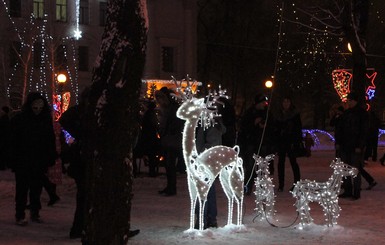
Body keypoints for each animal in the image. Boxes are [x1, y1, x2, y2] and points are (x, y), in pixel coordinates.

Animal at [173, 77, 244, 231]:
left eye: (192, 105)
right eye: (185, 103)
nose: (178, 113)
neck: (194, 163)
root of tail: (236, 151)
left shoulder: (203, 188)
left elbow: (202, 207)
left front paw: (200, 230)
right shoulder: (192, 188)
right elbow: (193, 206)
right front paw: (191, 230)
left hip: (236, 177)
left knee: (240, 198)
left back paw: (239, 226)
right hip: (224, 178)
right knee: (231, 198)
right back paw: (229, 225)